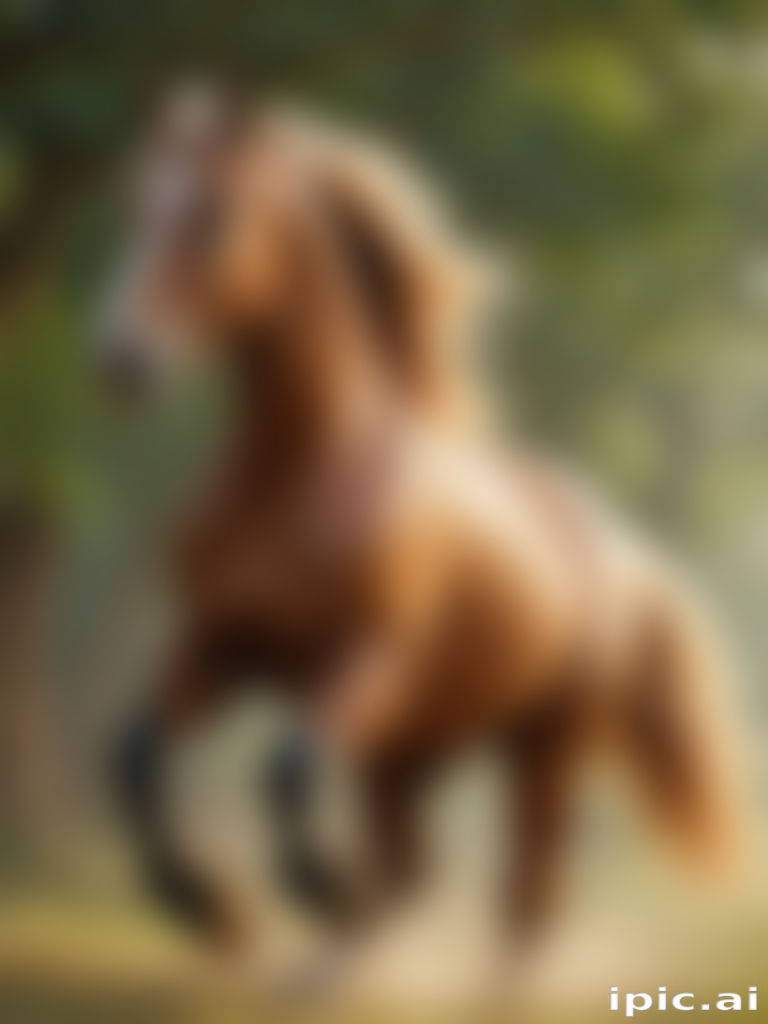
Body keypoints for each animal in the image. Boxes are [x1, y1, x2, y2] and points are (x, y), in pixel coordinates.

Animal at [96, 87, 742, 955]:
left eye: (213, 215)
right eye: (135, 206)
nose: (121, 356)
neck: (302, 480)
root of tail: (619, 550)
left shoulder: (370, 660)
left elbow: (286, 767)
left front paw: (313, 888)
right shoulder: (215, 642)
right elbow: (135, 758)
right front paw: (207, 906)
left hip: (547, 749)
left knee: (522, 905)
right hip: (409, 756)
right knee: (413, 878)